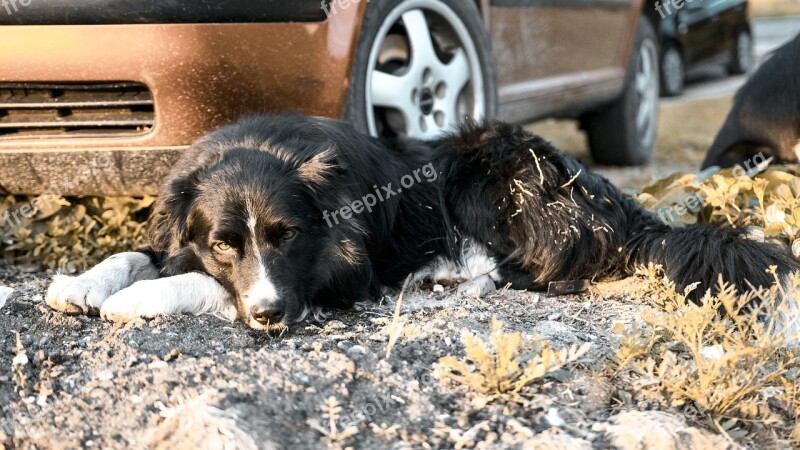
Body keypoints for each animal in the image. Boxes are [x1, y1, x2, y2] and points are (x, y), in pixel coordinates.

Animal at [45, 114, 800, 340]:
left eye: (289, 237)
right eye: (224, 242)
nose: (268, 318)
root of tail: (618, 202)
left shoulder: (339, 271)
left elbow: (202, 285)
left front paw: (139, 298)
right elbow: (143, 253)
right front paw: (81, 284)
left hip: (488, 166)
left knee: (543, 267)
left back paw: (451, 275)